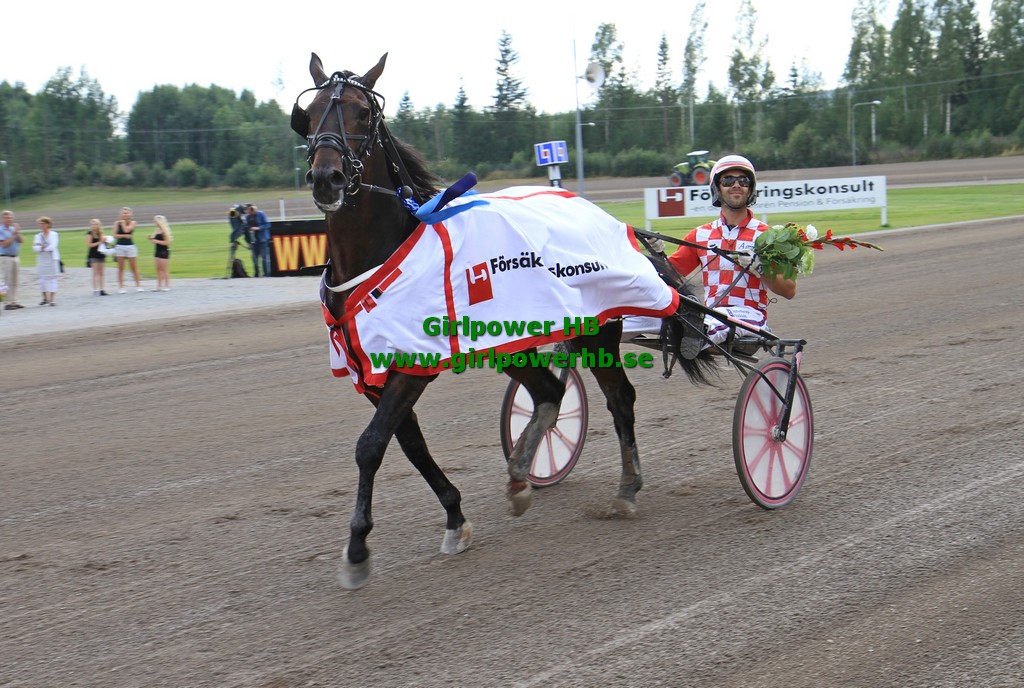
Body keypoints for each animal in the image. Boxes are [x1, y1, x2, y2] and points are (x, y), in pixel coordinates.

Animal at [291, 52, 715, 589]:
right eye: (309, 113)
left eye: (363, 114)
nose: (326, 178)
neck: (378, 257)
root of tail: (609, 219)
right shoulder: (372, 374)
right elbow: (409, 445)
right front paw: (455, 518)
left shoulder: (413, 365)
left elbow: (370, 446)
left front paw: (357, 550)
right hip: (509, 343)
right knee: (550, 392)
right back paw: (520, 476)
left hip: (598, 331)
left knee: (620, 400)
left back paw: (625, 489)